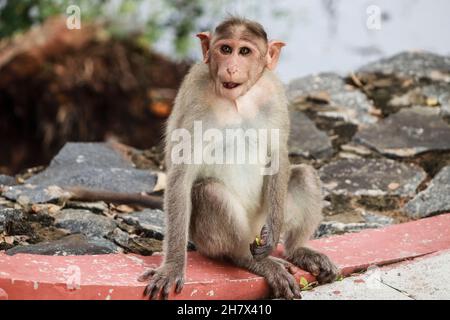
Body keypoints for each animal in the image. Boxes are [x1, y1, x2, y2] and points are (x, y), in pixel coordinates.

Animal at [137, 16, 338, 298]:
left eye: (244, 51)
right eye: (225, 49)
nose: (231, 68)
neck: (237, 100)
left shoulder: (274, 92)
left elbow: (278, 154)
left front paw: (275, 232)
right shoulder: (195, 98)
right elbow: (181, 175)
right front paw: (173, 266)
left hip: (259, 222)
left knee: (304, 175)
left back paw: (297, 250)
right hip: (210, 240)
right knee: (209, 192)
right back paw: (250, 260)